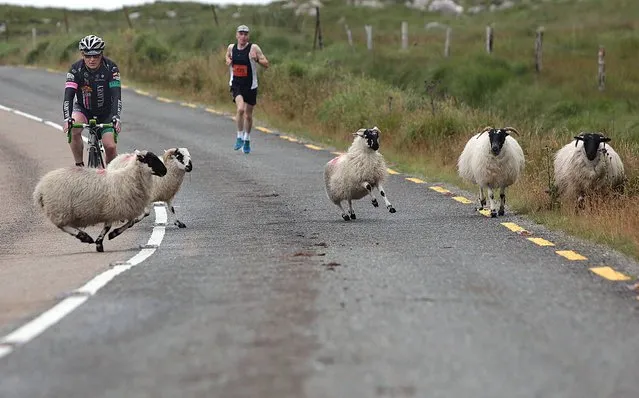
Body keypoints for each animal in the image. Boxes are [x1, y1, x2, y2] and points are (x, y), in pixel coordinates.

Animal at [33, 149, 168, 252]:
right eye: (151, 159)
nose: (165, 171)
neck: (128, 177)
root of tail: (39, 188)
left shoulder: (118, 209)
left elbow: (130, 222)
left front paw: (107, 237)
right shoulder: (114, 208)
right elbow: (113, 226)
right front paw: (103, 240)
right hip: (59, 209)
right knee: (62, 226)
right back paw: (83, 236)